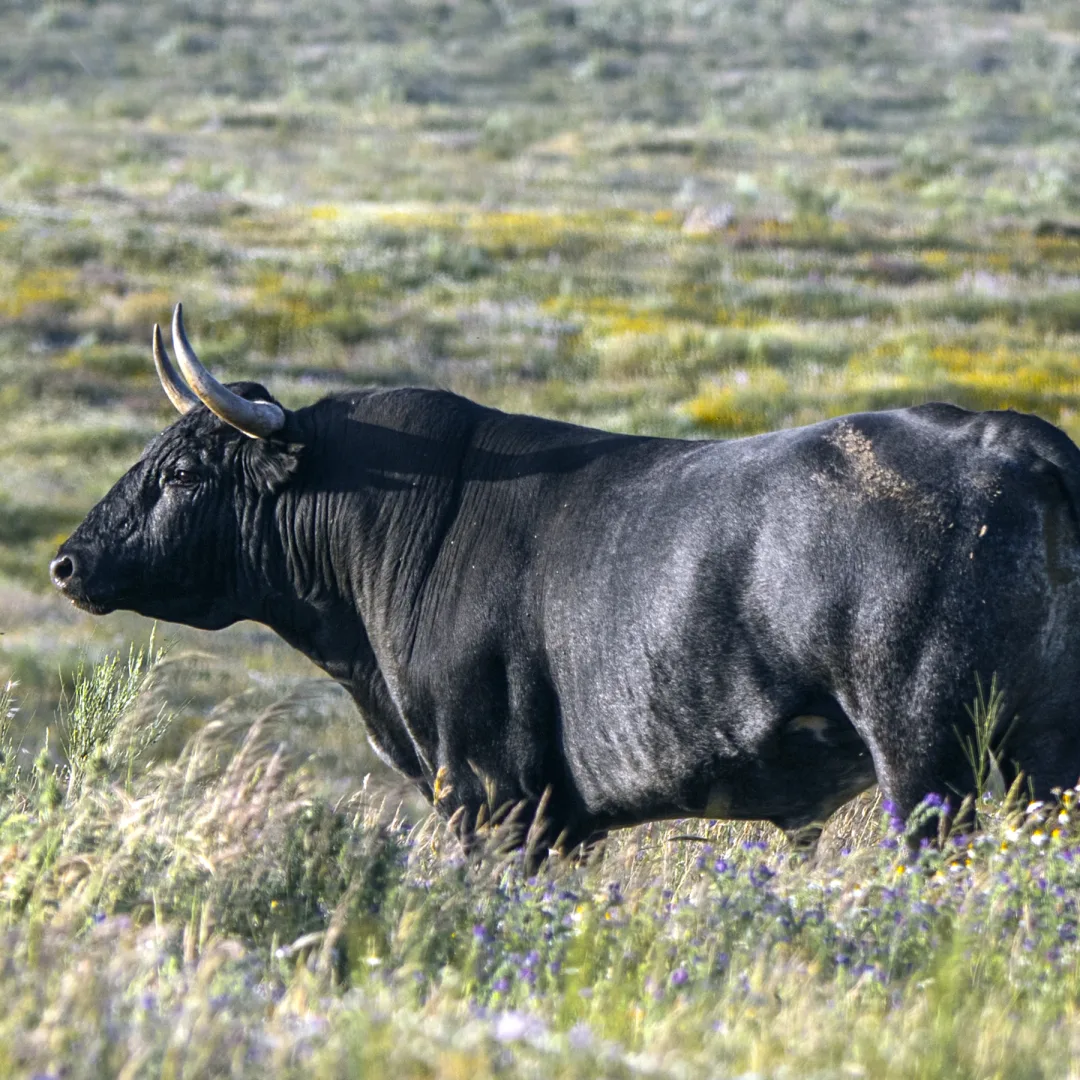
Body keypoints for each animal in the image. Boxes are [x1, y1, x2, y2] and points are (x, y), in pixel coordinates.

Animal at [50, 304, 1080, 855]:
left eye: (186, 471)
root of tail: (1008, 432)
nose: (70, 561)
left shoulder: (494, 792)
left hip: (927, 757)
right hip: (1042, 761)